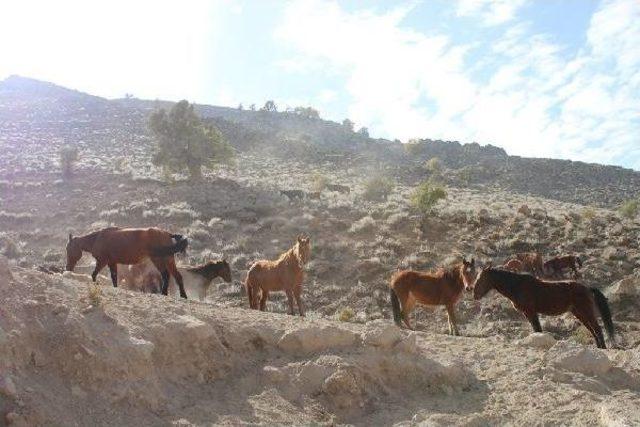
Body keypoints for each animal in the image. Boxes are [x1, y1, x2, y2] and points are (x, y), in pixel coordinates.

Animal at [470, 266, 616, 350]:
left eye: (481, 279)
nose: (474, 294)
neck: (517, 286)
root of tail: (587, 288)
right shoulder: (527, 313)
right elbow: (536, 330)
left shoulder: (531, 312)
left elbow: (537, 329)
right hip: (580, 313)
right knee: (592, 330)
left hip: (586, 311)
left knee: (597, 329)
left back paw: (603, 348)